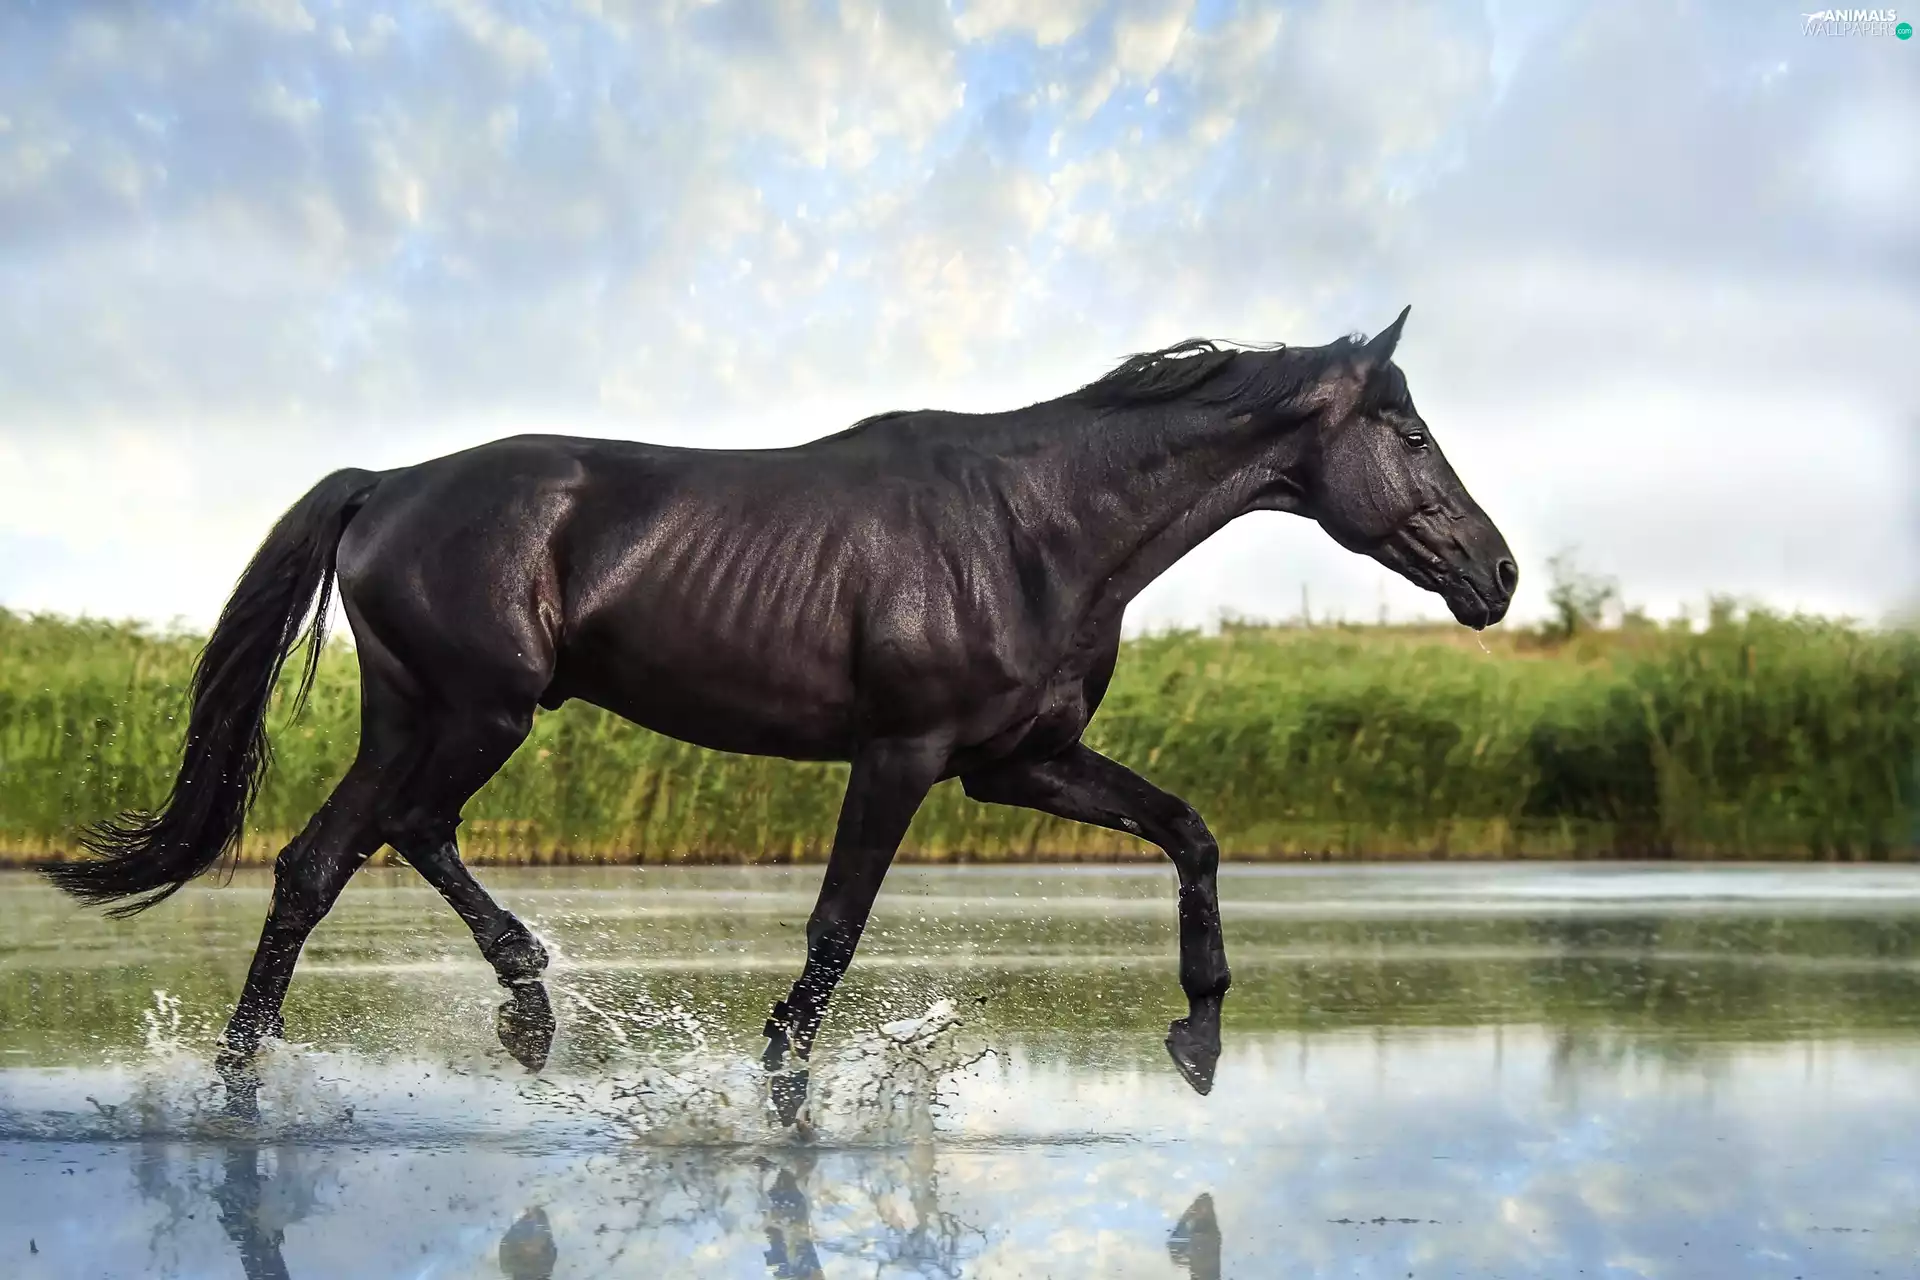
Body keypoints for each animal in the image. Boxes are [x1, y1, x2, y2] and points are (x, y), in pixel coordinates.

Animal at [44, 307, 1516, 1122]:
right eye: (1415, 436)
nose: (1495, 575)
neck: (1036, 524)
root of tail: (387, 482)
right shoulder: (905, 755)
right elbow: (834, 930)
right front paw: (781, 1089)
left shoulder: (1018, 762)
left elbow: (1191, 828)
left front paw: (1200, 1033)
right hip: (472, 711)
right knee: (359, 846)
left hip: (429, 715)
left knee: (343, 853)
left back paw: (392, 1042)